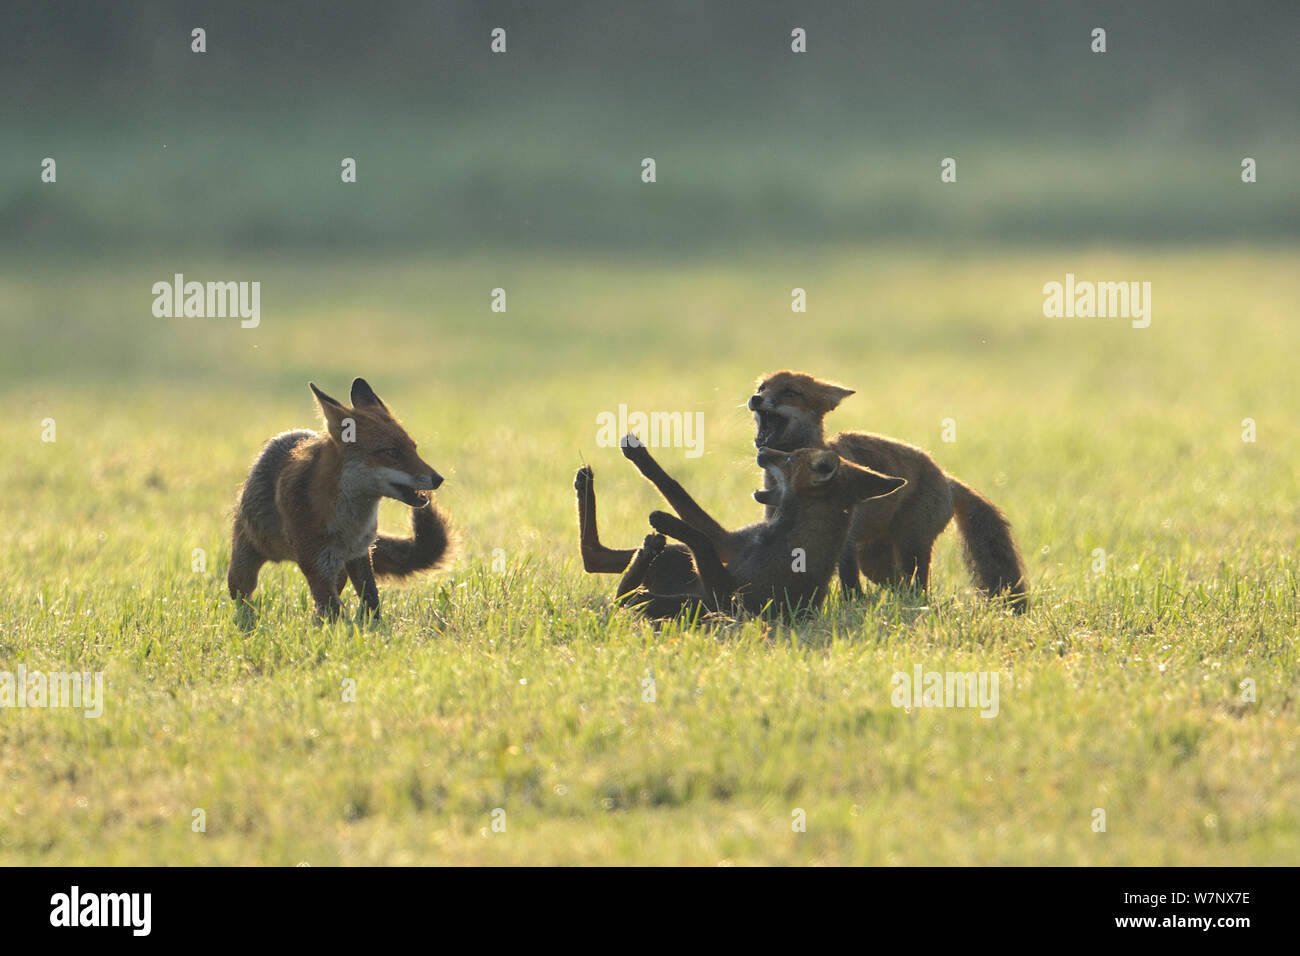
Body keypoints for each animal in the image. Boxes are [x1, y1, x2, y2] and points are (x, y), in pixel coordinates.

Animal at [223, 377, 447, 624]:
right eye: (392, 453)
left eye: (414, 448)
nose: (438, 479)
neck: (347, 525)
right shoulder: (316, 563)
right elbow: (334, 611)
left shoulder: (360, 554)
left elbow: (371, 599)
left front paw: (371, 627)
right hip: (244, 568)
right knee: (242, 596)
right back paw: (248, 619)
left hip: (339, 569)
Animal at [616, 444, 904, 616]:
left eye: (788, 458)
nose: (762, 449)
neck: (776, 536)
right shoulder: (731, 544)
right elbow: (675, 488)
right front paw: (639, 455)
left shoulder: (732, 600)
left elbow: (700, 540)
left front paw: (666, 520)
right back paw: (644, 553)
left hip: (690, 605)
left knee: (628, 599)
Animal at [748, 369, 1029, 608]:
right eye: (763, 387)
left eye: (790, 392)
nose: (756, 398)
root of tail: (947, 476)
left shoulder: (846, 543)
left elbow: (849, 585)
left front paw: (850, 607)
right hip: (875, 562)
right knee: (901, 587)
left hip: (910, 547)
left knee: (919, 589)